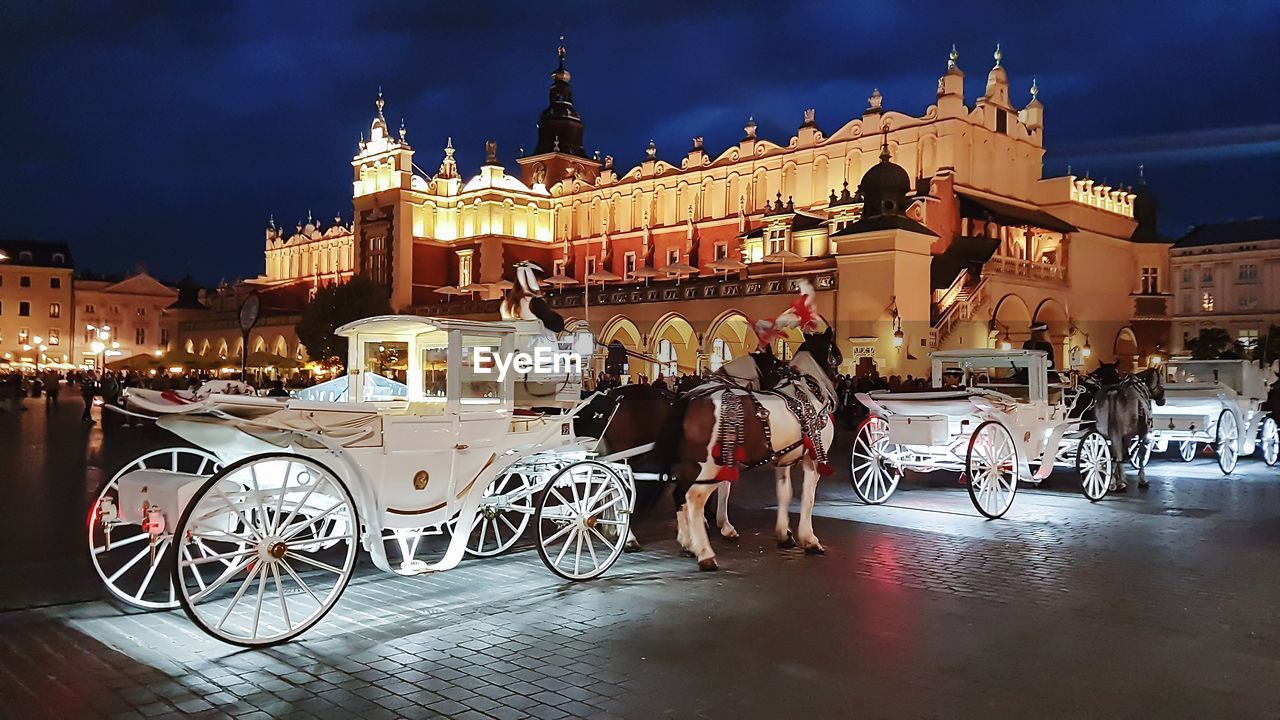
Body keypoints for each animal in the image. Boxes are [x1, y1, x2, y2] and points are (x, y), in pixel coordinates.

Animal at [665, 324, 844, 566]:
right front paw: (810, 539)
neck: (809, 393)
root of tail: (691, 400)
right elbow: (808, 498)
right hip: (709, 466)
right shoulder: (813, 458)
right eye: (836, 352)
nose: (839, 379)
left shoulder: (783, 459)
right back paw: (704, 552)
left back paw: (687, 541)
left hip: (693, 464)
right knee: (694, 497)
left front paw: (784, 534)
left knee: (680, 494)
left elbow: (784, 493)